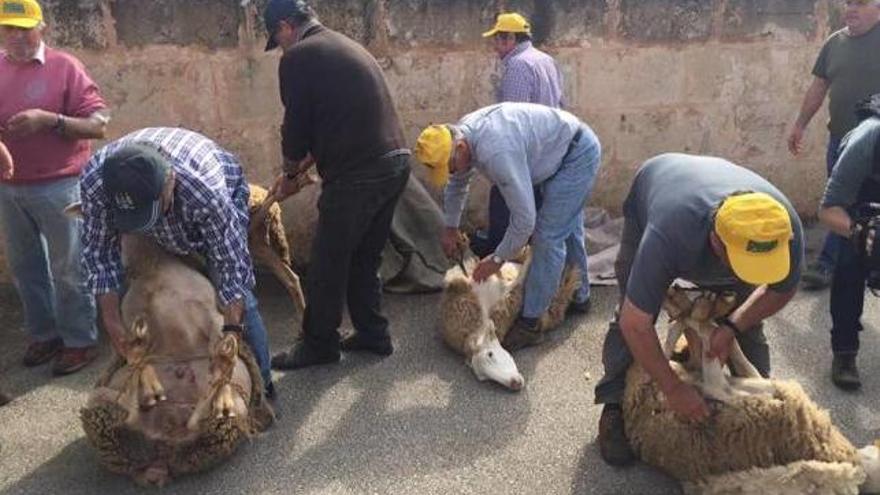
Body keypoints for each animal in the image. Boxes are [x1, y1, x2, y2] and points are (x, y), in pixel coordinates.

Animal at [620, 288, 880, 494]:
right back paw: (688, 309)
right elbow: (736, 359)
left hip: (656, 379)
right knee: (685, 352)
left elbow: (731, 364)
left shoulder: (759, 394)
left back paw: (689, 311)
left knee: (679, 354)